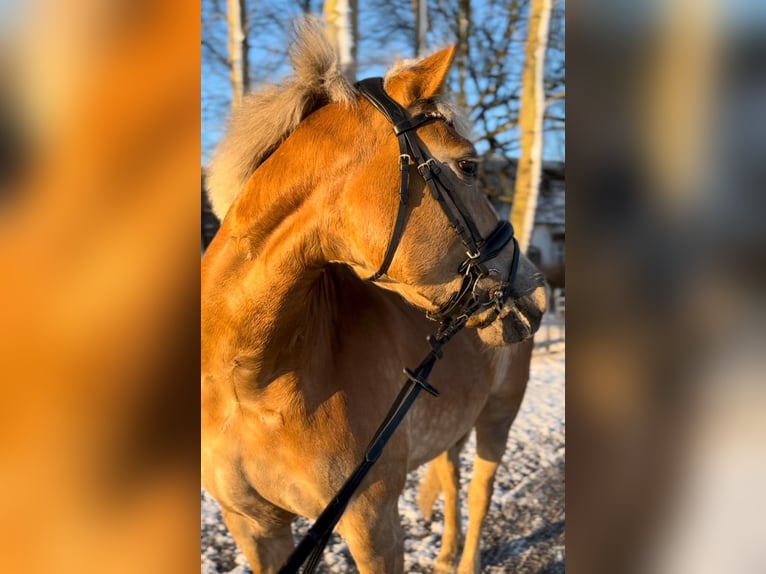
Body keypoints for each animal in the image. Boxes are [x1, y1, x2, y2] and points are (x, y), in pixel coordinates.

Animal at [201, 20, 548, 572]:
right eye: (469, 165)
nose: (535, 292)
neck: (252, 383)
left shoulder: (372, 523)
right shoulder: (254, 528)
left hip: (499, 416)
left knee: (480, 492)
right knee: (452, 476)